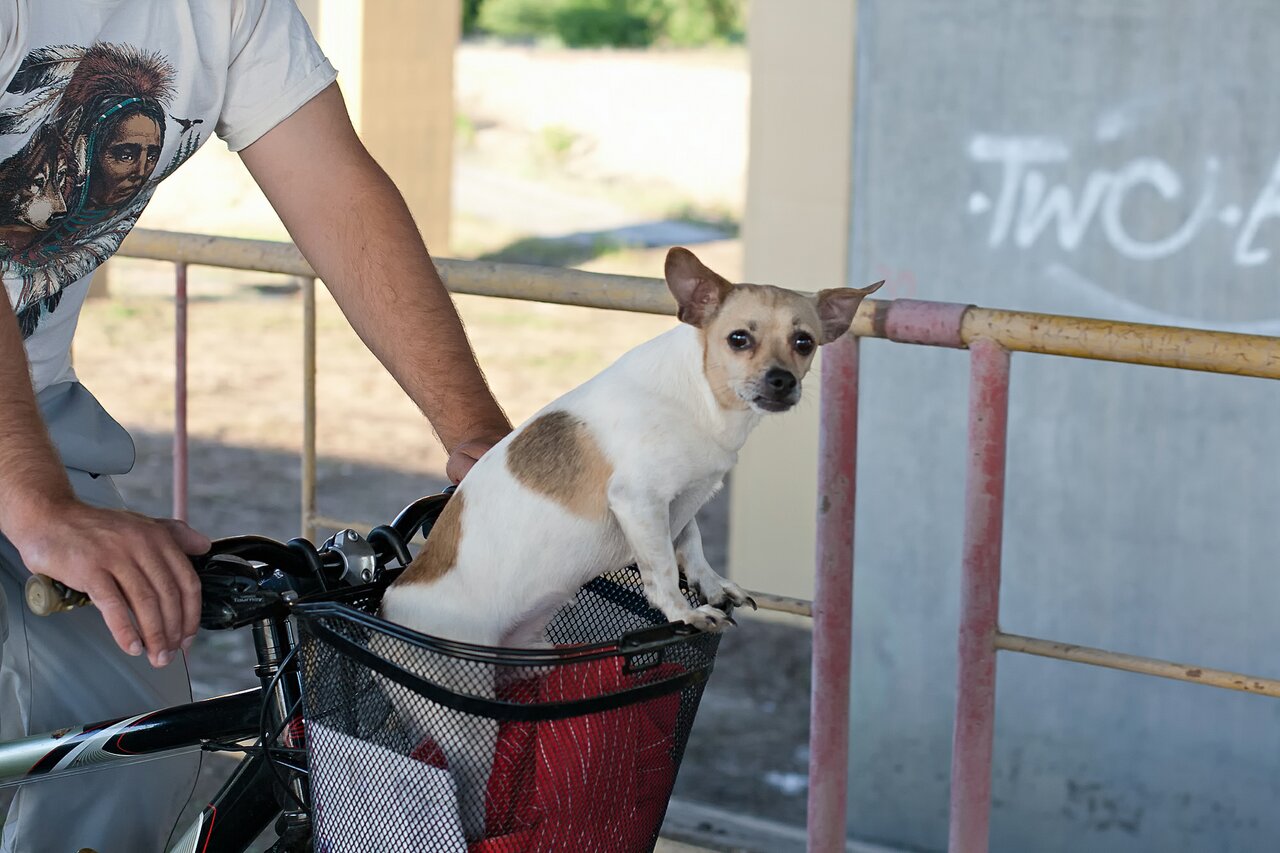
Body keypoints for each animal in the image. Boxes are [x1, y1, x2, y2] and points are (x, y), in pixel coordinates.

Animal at [379, 247, 882, 839]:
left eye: (804, 342)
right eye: (739, 338)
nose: (782, 381)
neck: (704, 399)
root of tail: (386, 612)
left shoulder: (680, 505)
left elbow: (692, 548)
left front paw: (712, 586)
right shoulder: (641, 502)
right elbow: (661, 570)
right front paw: (684, 612)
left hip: (534, 661)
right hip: (468, 727)